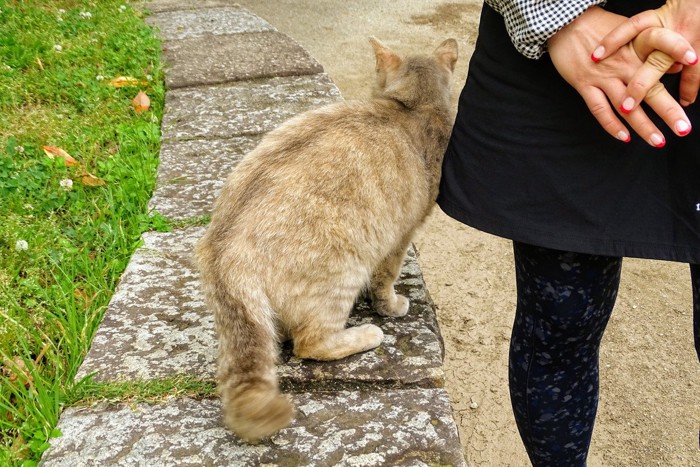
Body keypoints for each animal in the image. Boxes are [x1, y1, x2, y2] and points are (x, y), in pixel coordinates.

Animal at [196, 37, 460, 442]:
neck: (412, 108)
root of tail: (222, 250)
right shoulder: (400, 237)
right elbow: (385, 280)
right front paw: (390, 306)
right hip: (342, 272)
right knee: (311, 342)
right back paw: (365, 334)